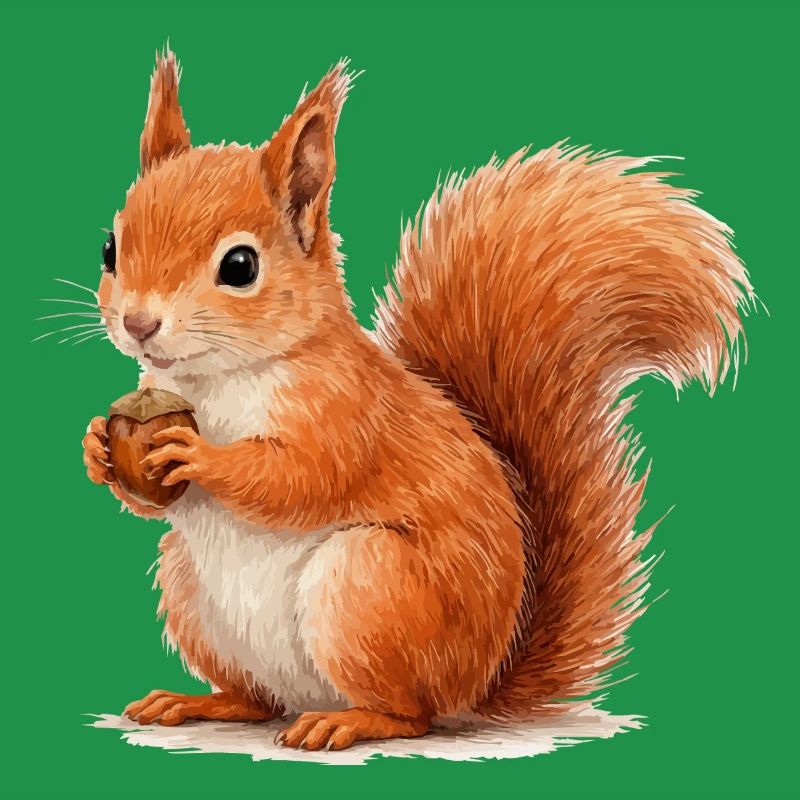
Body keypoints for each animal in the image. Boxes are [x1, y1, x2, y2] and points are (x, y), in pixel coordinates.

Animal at [81, 50, 753, 751]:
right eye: (110, 247)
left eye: (240, 266)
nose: (138, 324)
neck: (216, 379)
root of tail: (477, 686)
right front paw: (98, 447)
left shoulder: (347, 411)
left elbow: (301, 478)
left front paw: (199, 455)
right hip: (190, 590)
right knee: (257, 699)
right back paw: (199, 701)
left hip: (369, 587)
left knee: (412, 714)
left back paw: (348, 721)